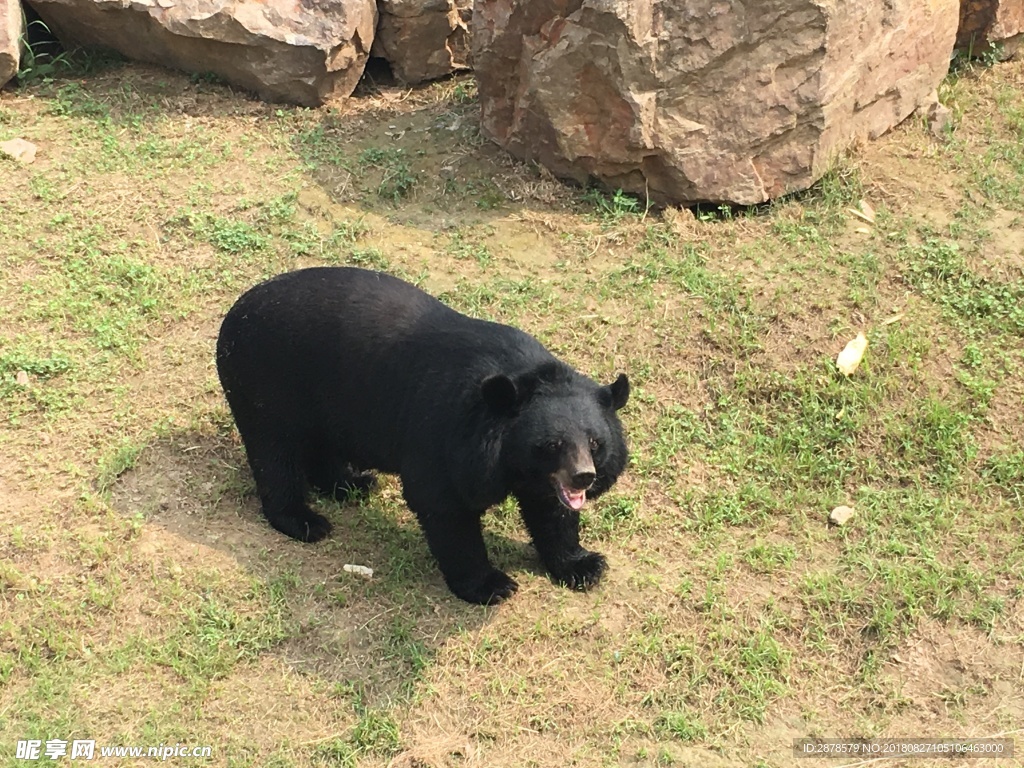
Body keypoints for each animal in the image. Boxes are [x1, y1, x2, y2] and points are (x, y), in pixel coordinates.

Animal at [215, 267, 630, 605]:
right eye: (551, 445)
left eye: (595, 443)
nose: (584, 477)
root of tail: (235, 311)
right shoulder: (444, 435)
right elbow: (444, 506)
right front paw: (492, 586)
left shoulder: (539, 478)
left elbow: (551, 512)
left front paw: (584, 566)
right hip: (266, 385)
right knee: (275, 455)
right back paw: (305, 522)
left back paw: (351, 483)